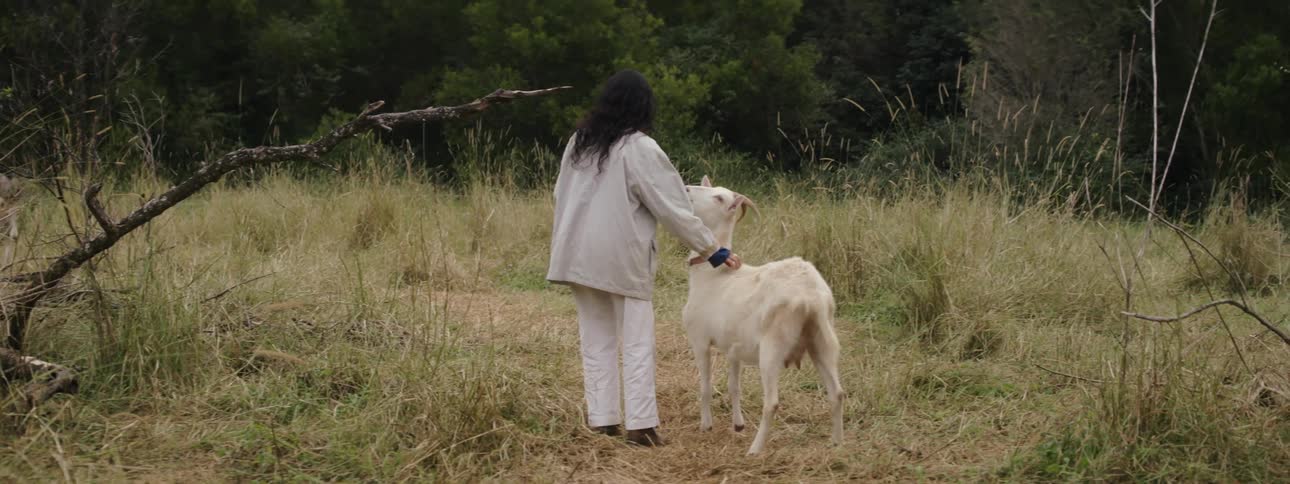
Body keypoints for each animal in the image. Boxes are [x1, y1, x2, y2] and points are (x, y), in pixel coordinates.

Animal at [681, 175, 844, 455]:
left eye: (719, 198)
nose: (687, 189)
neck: (713, 276)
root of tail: (810, 296)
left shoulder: (700, 340)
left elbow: (705, 386)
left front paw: (706, 425)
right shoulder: (733, 347)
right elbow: (734, 387)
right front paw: (738, 425)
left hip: (772, 348)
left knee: (772, 402)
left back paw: (755, 450)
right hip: (822, 340)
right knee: (838, 393)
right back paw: (837, 444)